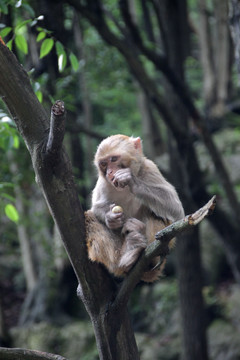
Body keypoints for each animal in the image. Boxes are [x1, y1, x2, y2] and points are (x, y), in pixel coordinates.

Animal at [85, 134, 185, 282]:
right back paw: (127, 257)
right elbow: (96, 208)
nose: (109, 172)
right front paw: (111, 218)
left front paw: (131, 180)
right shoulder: (103, 183)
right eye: (103, 164)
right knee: (89, 217)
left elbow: (176, 209)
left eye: (113, 159)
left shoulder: (149, 168)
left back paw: (149, 256)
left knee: (157, 213)